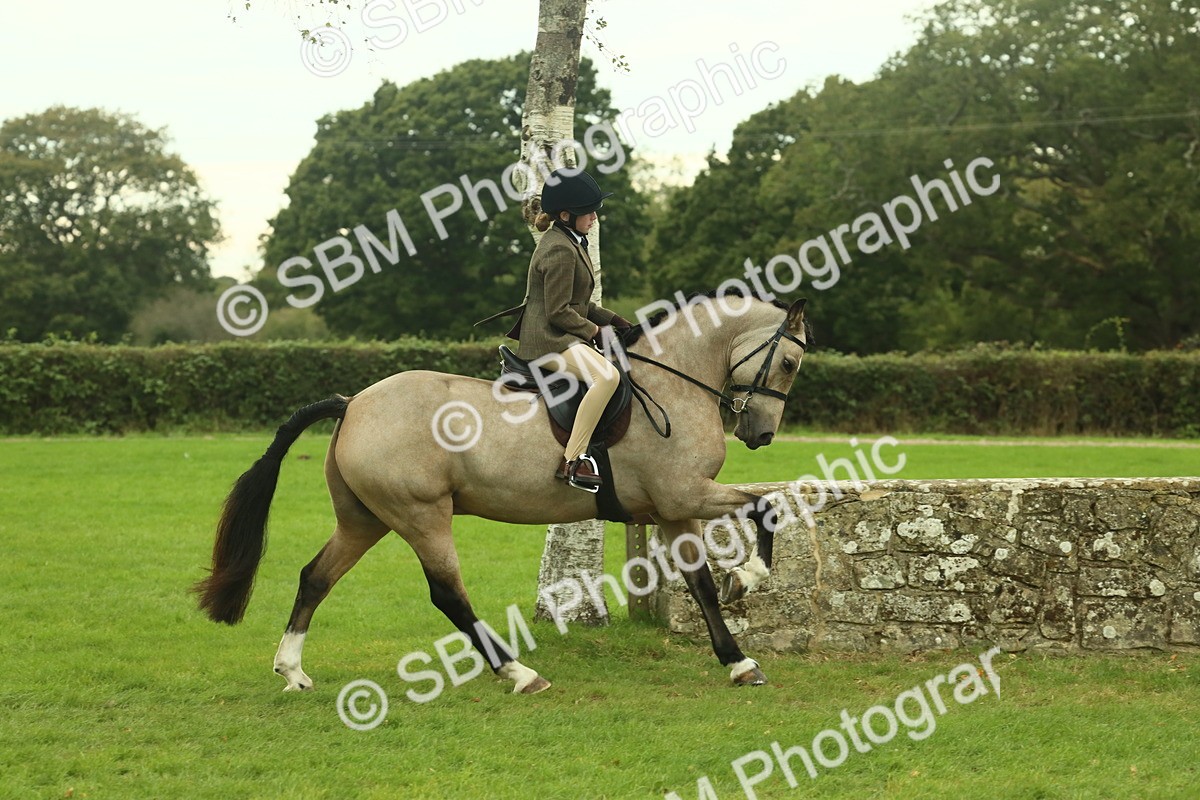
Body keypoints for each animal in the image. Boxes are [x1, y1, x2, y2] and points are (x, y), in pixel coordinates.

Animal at [194, 289, 811, 695]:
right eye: (789, 361)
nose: (761, 434)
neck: (674, 381)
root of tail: (353, 403)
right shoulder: (685, 495)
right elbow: (767, 507)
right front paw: (748, 578)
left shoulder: (673, 508)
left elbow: (702, 582)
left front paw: (737, 657)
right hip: (421, 515)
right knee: (448, 594)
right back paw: (519, 673)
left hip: (364, 520)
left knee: (315, 577)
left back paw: (292, 669)